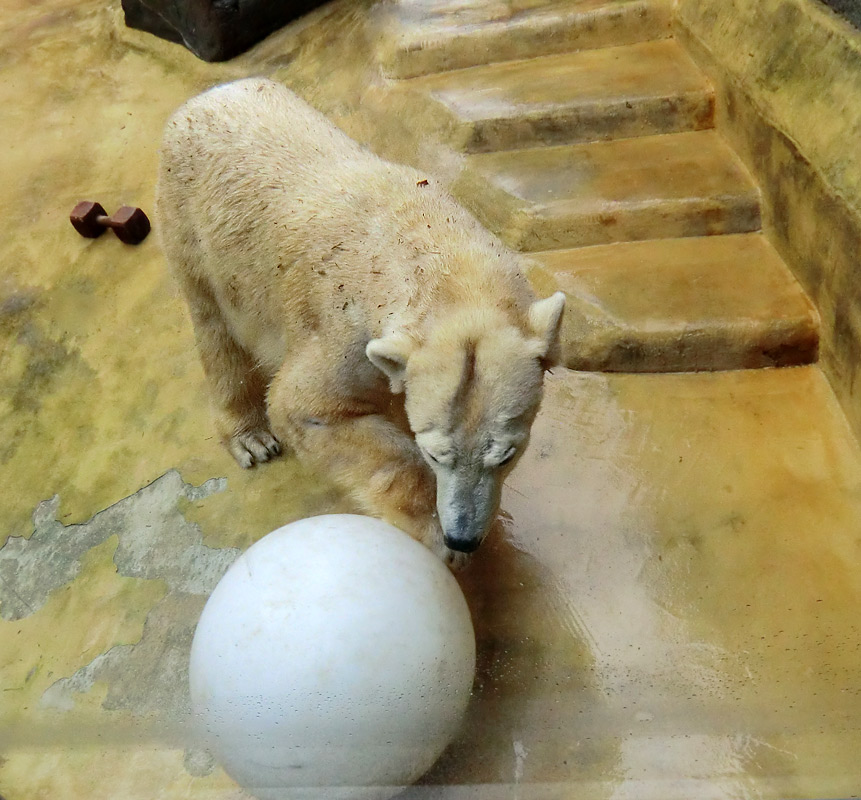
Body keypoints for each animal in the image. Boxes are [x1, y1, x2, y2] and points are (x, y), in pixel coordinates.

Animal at [158, 78, 564, 564]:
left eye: (506, 455)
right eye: (435, 455)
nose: (463, 535)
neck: (434, 255)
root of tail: (210, 94)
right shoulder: (346, 335)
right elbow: (305, 407)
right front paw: (435, 537)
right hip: (193, 229)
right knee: (214, 327)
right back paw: (250, 436)